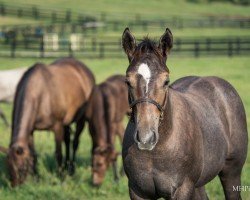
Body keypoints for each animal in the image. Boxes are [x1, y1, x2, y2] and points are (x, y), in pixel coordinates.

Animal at [4, 57, 95, 186]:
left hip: (80, 120)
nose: (15, 187)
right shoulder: (31, 130)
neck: (40, 94)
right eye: (8, 167)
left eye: (21, 168)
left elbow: (58, 154)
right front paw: (36, 178)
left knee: (75, 143)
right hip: (66, 123)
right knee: (67, 140)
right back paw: (67, 167)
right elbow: (33, 154)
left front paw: (61, 178)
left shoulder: (57, 127)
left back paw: (71, 169)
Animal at [121, 27, 248, 199]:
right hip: (199, 183)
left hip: (231, 172)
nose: (146, 138)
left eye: (166, 81)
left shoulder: (183, 189)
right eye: (128, 82)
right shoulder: (137, 191)